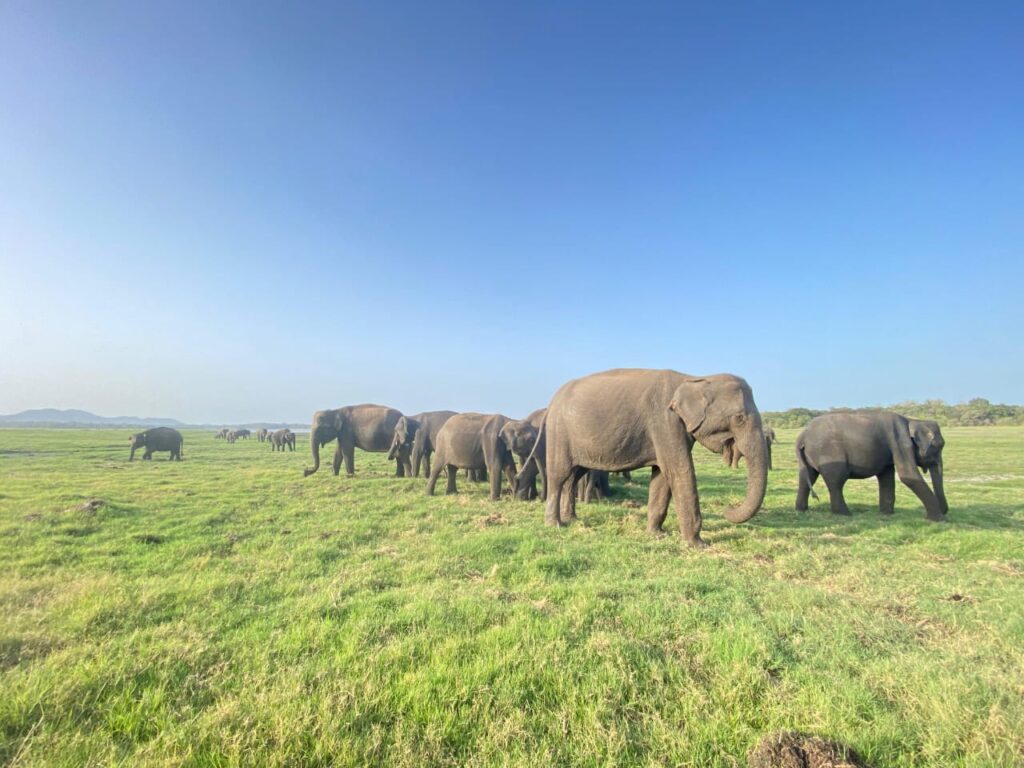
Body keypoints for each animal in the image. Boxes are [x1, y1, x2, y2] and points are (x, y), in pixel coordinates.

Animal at [536, 369, 768, 547]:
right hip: (558, 432)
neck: (695, 378)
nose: (728, 507)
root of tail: (552, 401)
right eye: (739, 418)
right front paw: (698, 545)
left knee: (574, 476)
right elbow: (680, 471)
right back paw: (555, 525)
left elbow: (662, 477)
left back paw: (572, 520)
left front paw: (657, 534)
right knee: (559, 475)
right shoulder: (665, 421)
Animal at [795, 412, 948, 520]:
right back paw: (845, 514)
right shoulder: (900, 443)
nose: (945, 512)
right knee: (836, 481)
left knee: (807, 477)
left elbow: (886, 478)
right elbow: (908, 476)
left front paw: (886, 514)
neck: (912, 420)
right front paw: (939, 520)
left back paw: (802, 510)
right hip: (830, 453)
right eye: (938, 446)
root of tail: (802, 436)